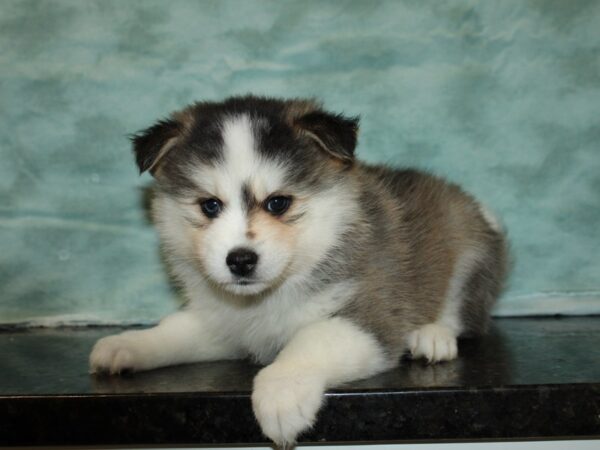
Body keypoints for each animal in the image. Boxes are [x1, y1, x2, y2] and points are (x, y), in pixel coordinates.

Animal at [90, 95, 506, 446]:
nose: (240, 260)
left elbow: (310, 339)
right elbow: (175, 330)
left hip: (469, 253)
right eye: (209, 205)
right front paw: (128, 345)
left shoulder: (369, 316)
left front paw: (281, 391)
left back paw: (432, 336)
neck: (265, 299)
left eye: (278, 203)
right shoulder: (224, 326)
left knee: (462, 315)